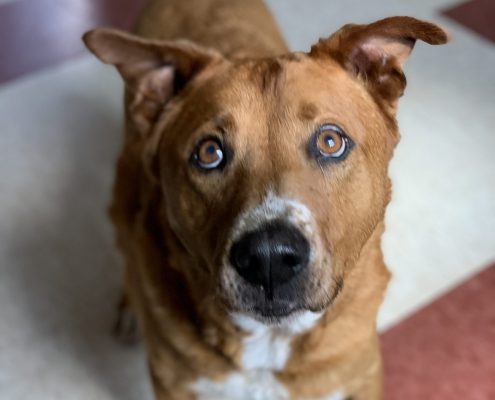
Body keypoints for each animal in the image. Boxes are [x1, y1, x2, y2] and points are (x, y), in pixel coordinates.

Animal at [83, 1, 448, 398]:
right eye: (208, 153)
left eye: (330, 142)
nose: (269, 258)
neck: (271, 340)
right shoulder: (173, 384)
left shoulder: (362, 376)